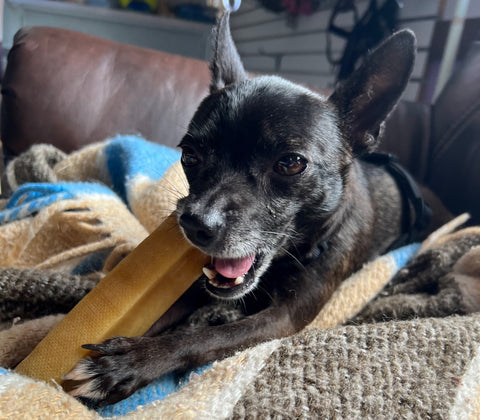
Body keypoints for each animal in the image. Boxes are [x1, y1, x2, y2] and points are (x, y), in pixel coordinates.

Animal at [66, 13, 442, 406]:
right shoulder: (202, 283)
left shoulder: (284, 318)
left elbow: (206, 337)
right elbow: (162, 312)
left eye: (291, 163)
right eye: (190, 155)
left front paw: (126, 364)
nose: (193, 223)